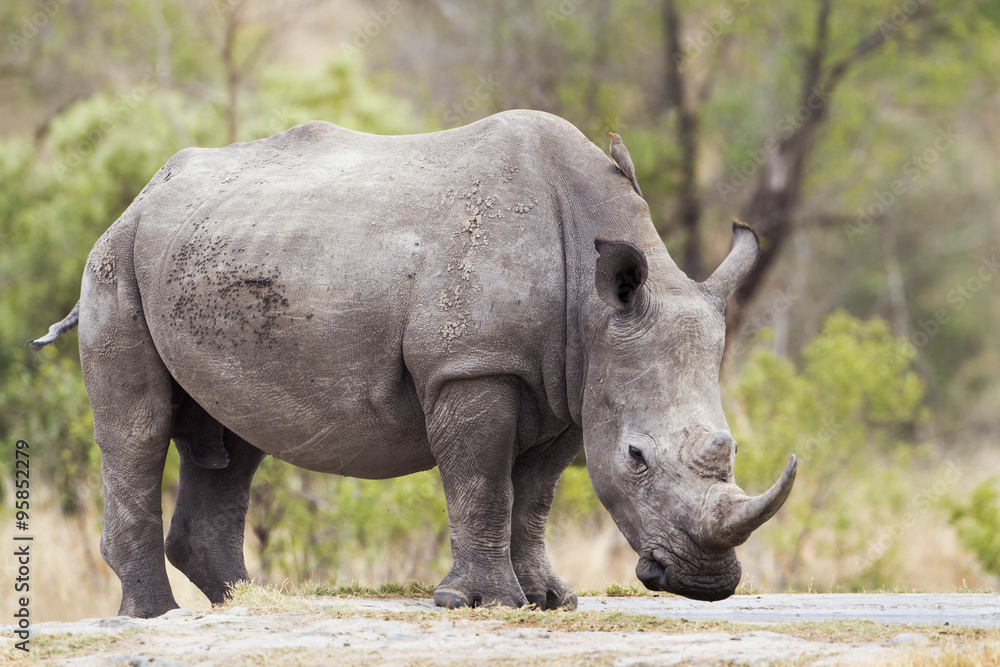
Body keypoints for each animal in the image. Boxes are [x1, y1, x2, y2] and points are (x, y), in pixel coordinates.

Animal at [31, 110, 795, 618]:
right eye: (637, 458)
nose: (706, 582)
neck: (591, 292)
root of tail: (143, 194)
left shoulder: (572, 382)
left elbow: (535, 494)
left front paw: (548, 599)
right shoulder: (473, 364)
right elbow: (482, 481)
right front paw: (479, 601)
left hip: (219, 252)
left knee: (234, 438)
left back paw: (251, 603)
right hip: (116, 262)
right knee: (137, 429)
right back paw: (155, 617)